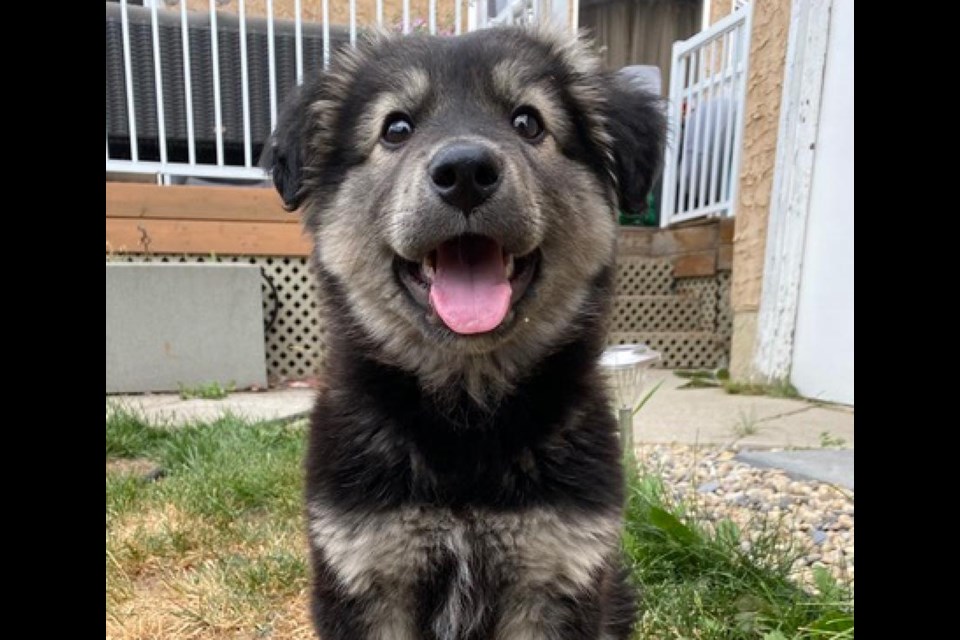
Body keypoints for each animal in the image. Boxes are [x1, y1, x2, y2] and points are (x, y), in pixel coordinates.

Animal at [266, 25, 664, 640]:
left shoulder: (556, 576)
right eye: (396, 128)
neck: (467, 416)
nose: (466, 173)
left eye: (527, 121)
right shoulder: (366, 572)